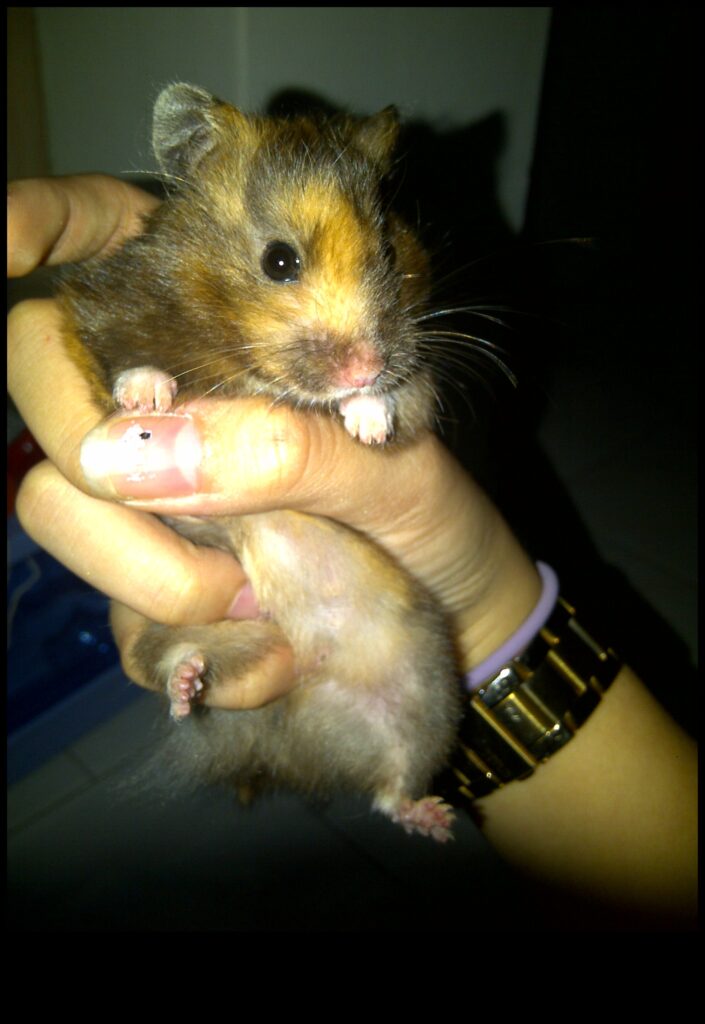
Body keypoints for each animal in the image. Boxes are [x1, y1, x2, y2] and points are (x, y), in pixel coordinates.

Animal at [58, 84, 461, 841]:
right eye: (279, 261)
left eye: (389, 250)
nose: (363, 365)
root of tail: (290, 740)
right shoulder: (98, 310)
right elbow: (123, 362)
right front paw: (148, 397)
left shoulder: (419, 380)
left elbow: (402, 398)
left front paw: (366, 420)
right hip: (182, 630)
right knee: (171, 665)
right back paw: (188, 683)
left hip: (430, 680)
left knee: (390, 784)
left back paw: (433, 818)